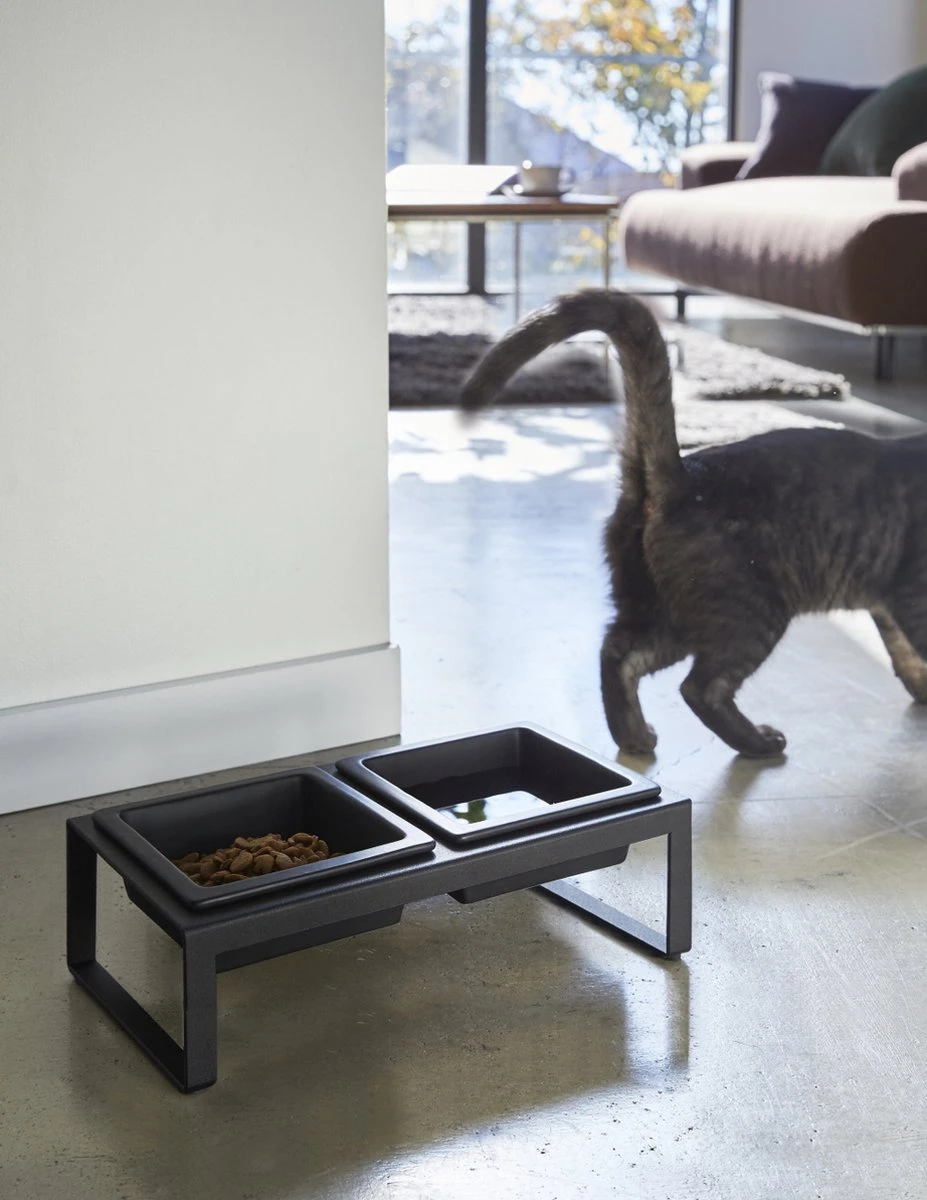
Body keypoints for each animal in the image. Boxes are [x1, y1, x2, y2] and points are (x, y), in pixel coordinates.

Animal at [459, 288, 927, 757]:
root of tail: (681, 478)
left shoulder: (889, 601)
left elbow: (904, 652)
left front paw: (921, 689)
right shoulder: (910, 596)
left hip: (663, 612)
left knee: (617, 652)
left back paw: (633, 736)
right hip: (749, 614)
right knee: (700, 687)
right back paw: (757, 742)